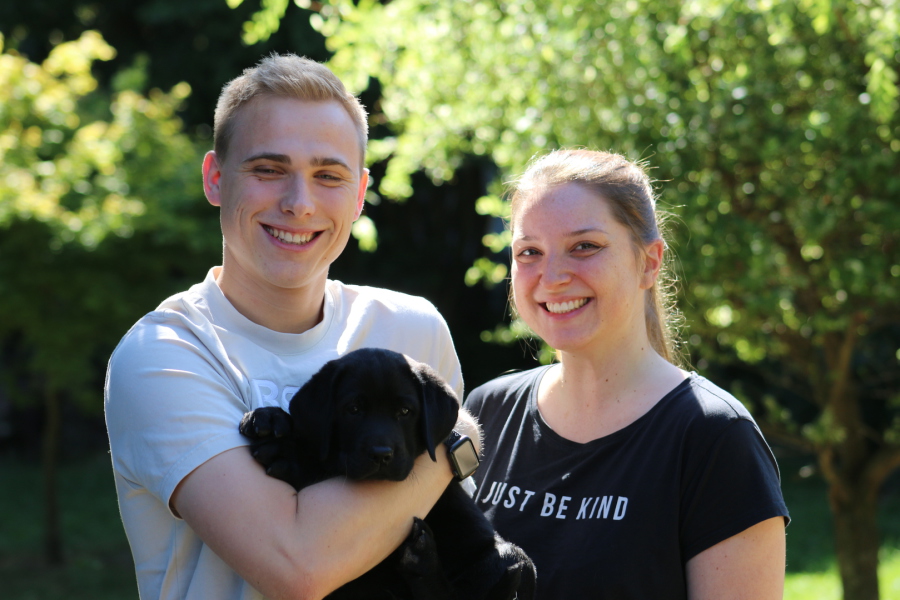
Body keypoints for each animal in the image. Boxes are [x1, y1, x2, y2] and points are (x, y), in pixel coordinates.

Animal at [239, 347, 535, 600]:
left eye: (405, 411)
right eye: (353, 409)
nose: (381, 455)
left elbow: (326, 465)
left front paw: (288, 452)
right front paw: (270, 418)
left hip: (512, 558)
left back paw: (421, 558)